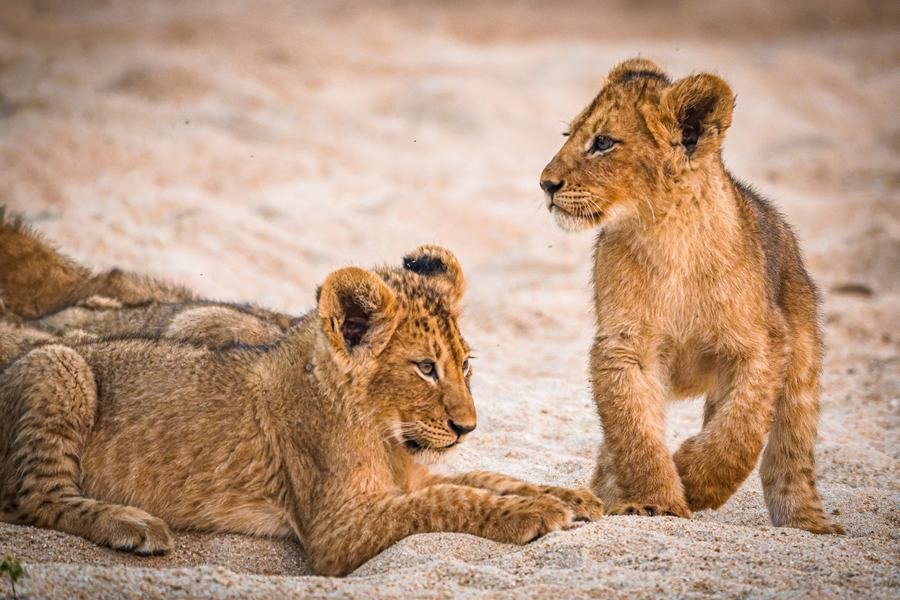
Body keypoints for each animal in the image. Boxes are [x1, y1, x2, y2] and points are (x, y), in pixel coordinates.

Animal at [0, 243, 603, 576]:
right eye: (425, 368)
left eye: (464, 364)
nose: (467, 427)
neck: (385, 434)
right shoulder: (337, 530)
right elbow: (449, 499)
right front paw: (533, 513)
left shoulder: (409, 477)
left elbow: (488, 476)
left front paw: (569, 496)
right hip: (60, 365)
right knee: (31, 497)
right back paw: (132, 524)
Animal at [538, 58, 842, 534]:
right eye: (569, 135)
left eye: (603, 142)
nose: (545, 184)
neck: (668, 232)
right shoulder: (624, 347)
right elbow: (635, 432)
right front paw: (656, 502)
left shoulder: (763, 345)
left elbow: (740, 431)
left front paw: (693, 478)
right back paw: (606, 497)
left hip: (802, 357)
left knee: (790, 450)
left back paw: (809, 523)